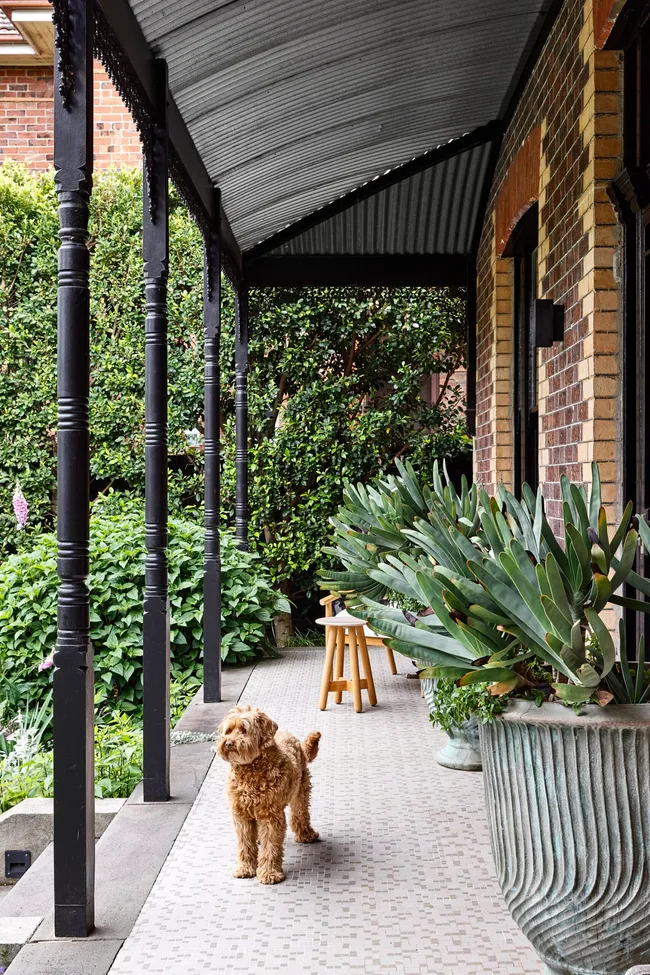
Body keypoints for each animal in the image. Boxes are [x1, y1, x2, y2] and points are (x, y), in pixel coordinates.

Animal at [216, 708, 320, 884]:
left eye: (244, 730)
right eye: (228, 731)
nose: (229, 743)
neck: (250, 770)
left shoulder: (271, 815)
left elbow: (270, 846)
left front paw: (269, 873)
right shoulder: (241, 815)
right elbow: (245, 844)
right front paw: (245, 868)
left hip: (300, 791)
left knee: (300, 815)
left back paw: (306, 834)